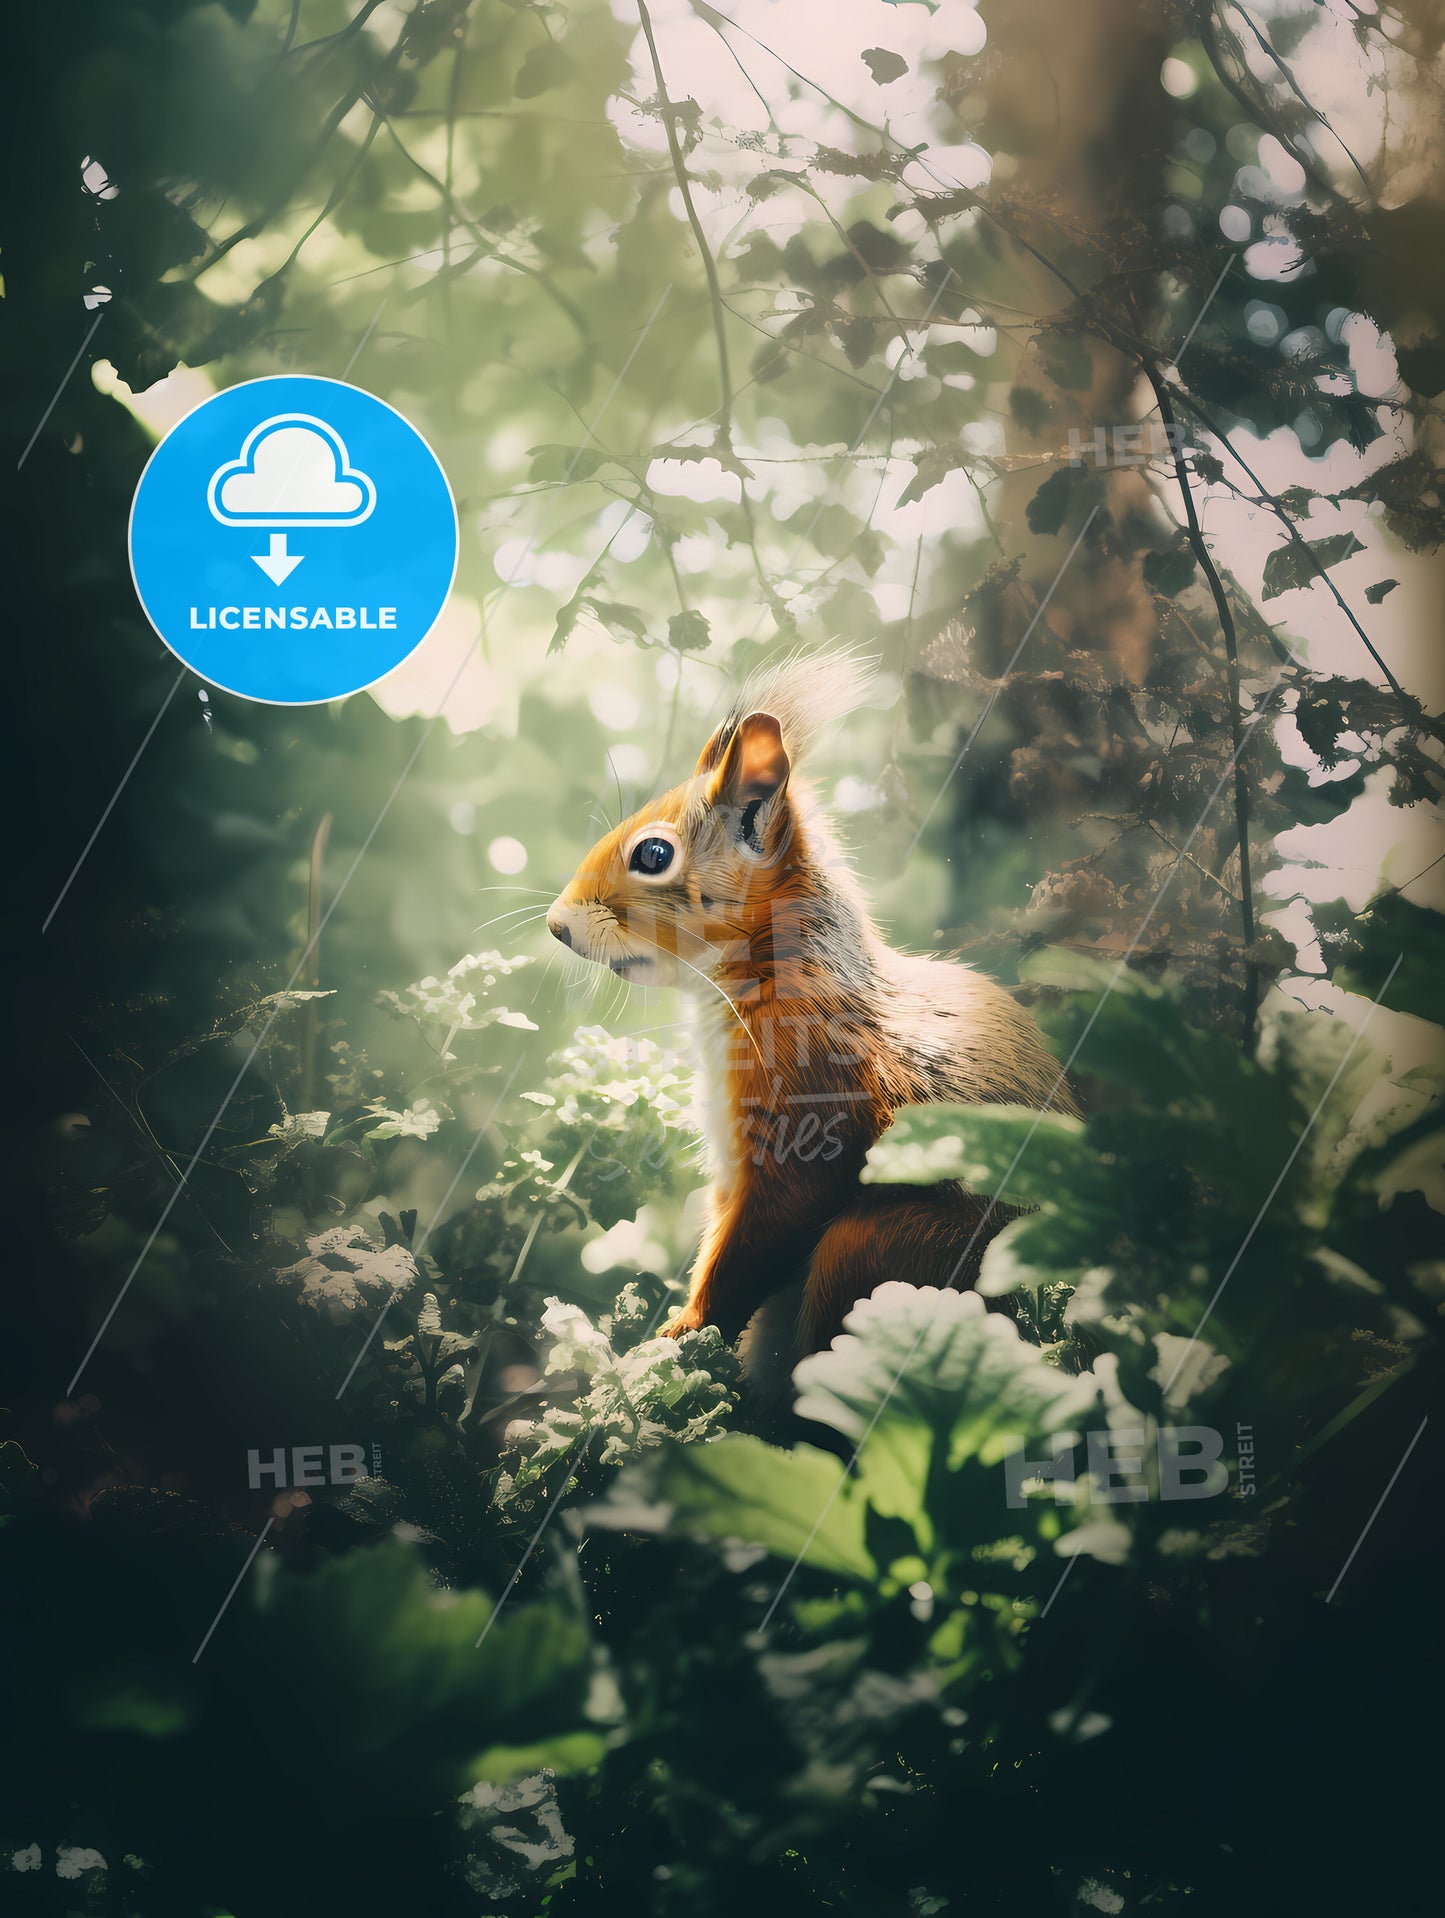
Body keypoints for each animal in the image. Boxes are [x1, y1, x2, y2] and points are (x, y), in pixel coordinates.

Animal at [546, 655, 1075, 1356]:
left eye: (653, 854)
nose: (555, 925)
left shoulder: (811, 1106)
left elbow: (761, 1238)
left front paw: (683, 1331)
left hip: (877, 1247)